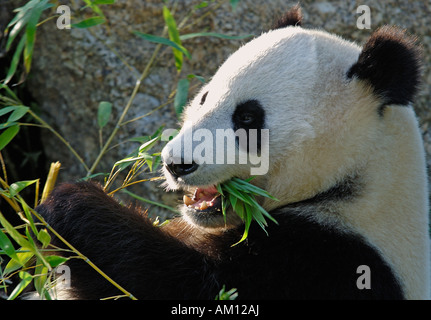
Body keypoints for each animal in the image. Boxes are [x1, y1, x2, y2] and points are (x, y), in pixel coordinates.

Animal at [35, 5, 430, 300]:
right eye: (204, 97)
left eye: (248, 118)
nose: (176, 164)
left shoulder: (329, 263)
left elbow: (173, 281)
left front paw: (70, 202)